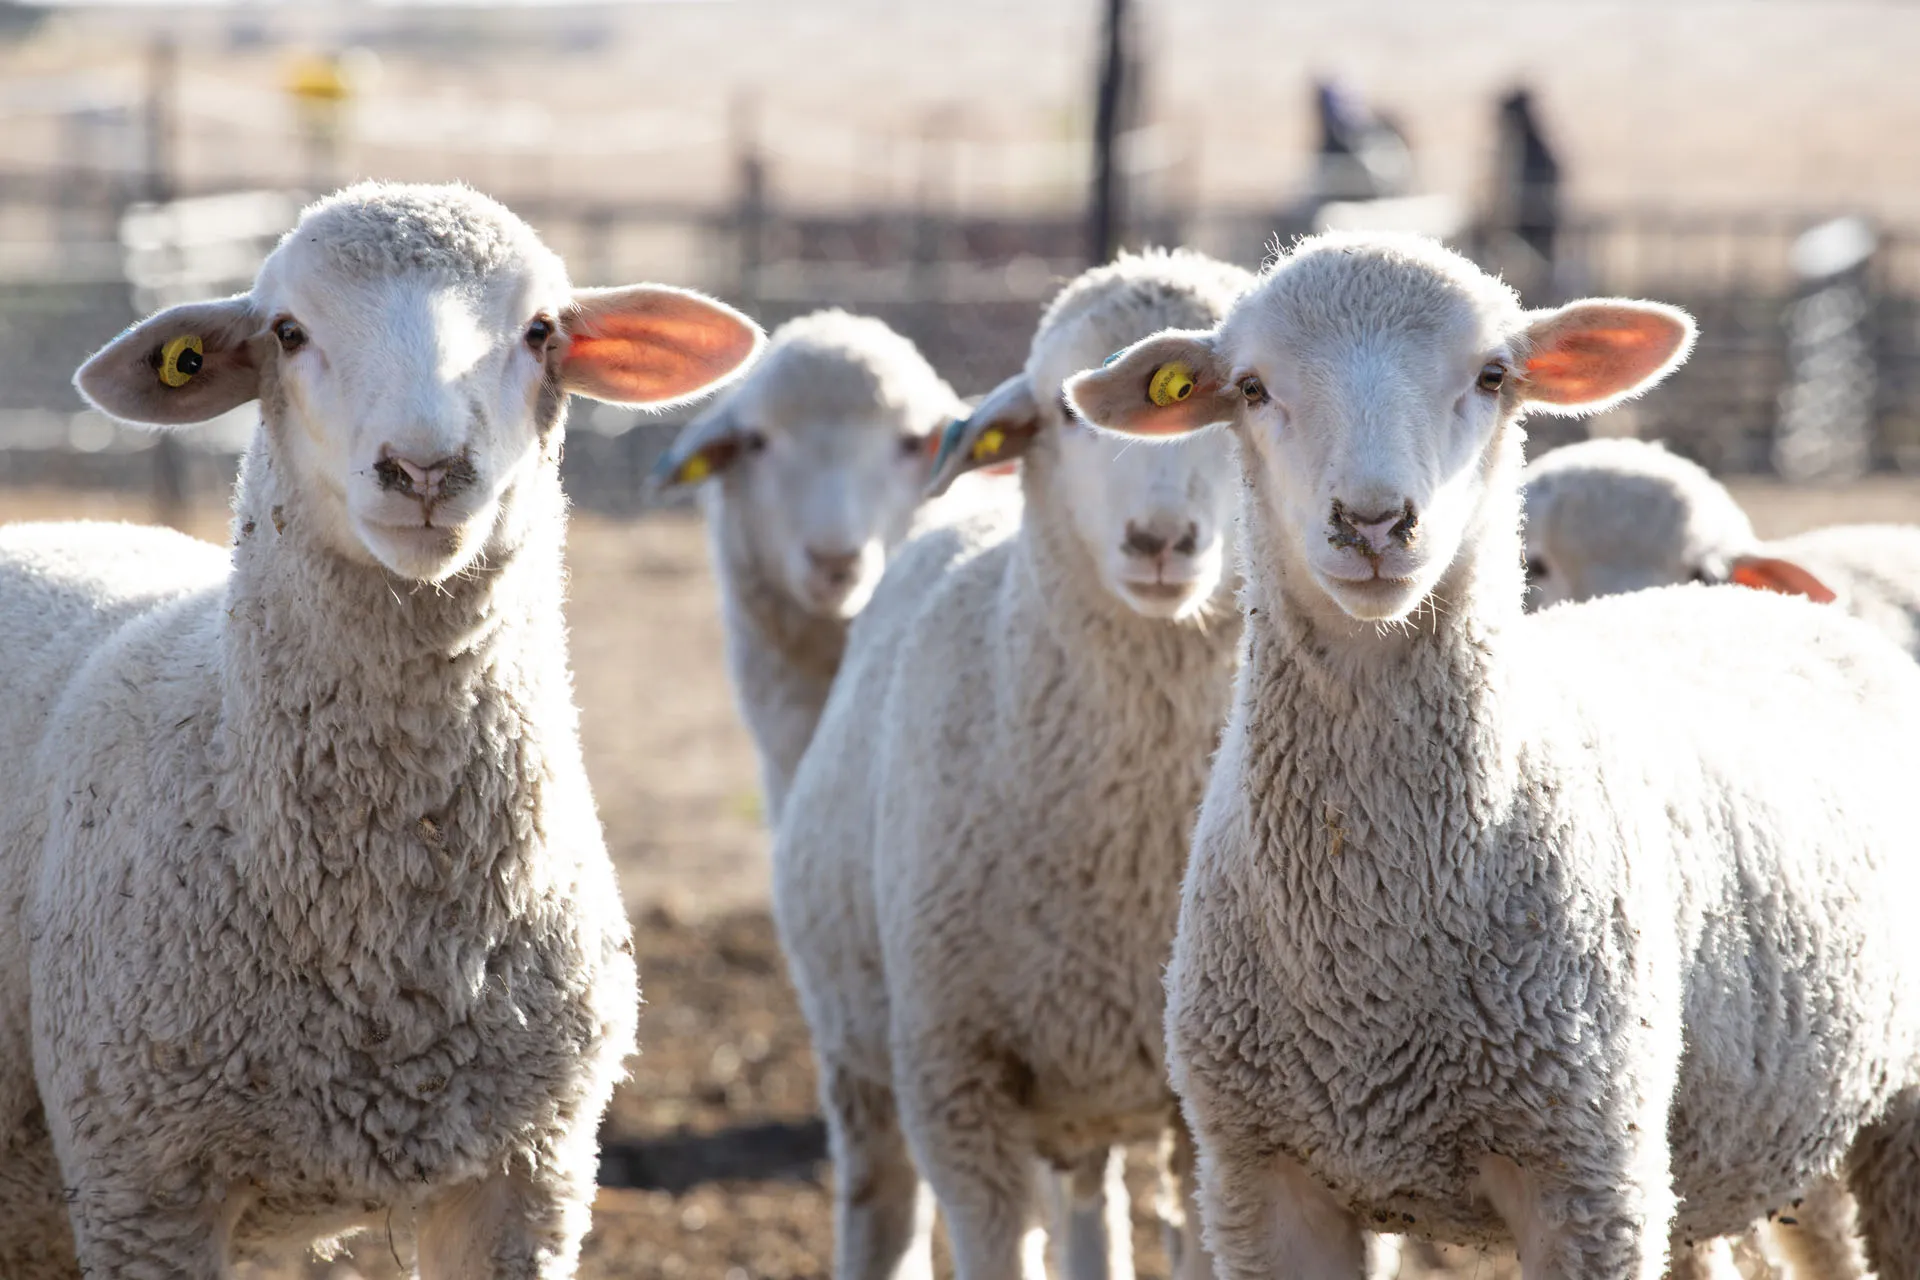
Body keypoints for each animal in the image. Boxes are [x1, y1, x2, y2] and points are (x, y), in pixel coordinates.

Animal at [773, 247, 1262, 1280]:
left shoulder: (1204, 1100)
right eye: (1066, 413)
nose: (1161, 542)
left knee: (1093, 1206)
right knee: (880, 1203)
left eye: (1239, 407)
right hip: (863, 1055)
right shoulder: (955, 1080)